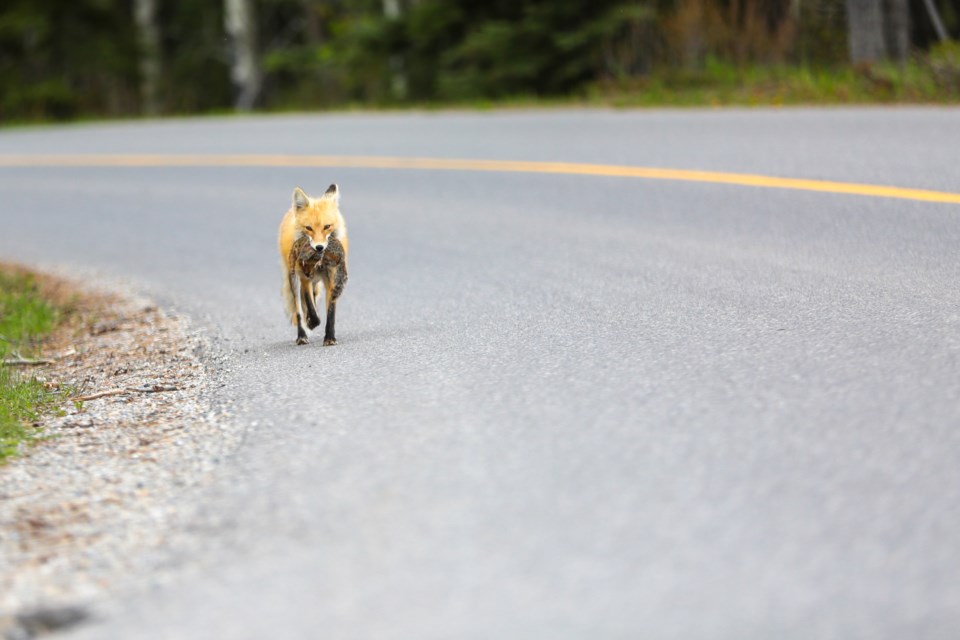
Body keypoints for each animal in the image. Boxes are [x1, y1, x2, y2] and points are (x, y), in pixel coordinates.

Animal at [278, 182, 348, 348]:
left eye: (327, 226)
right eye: (308, 228)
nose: (319, 248)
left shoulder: (332, 278)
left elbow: (330, 312)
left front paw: (329, 337)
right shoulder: (305, 278)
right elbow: (310, 308)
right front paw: (311, 322)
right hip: (294, 279)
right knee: (299, 308)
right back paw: (302, 335)